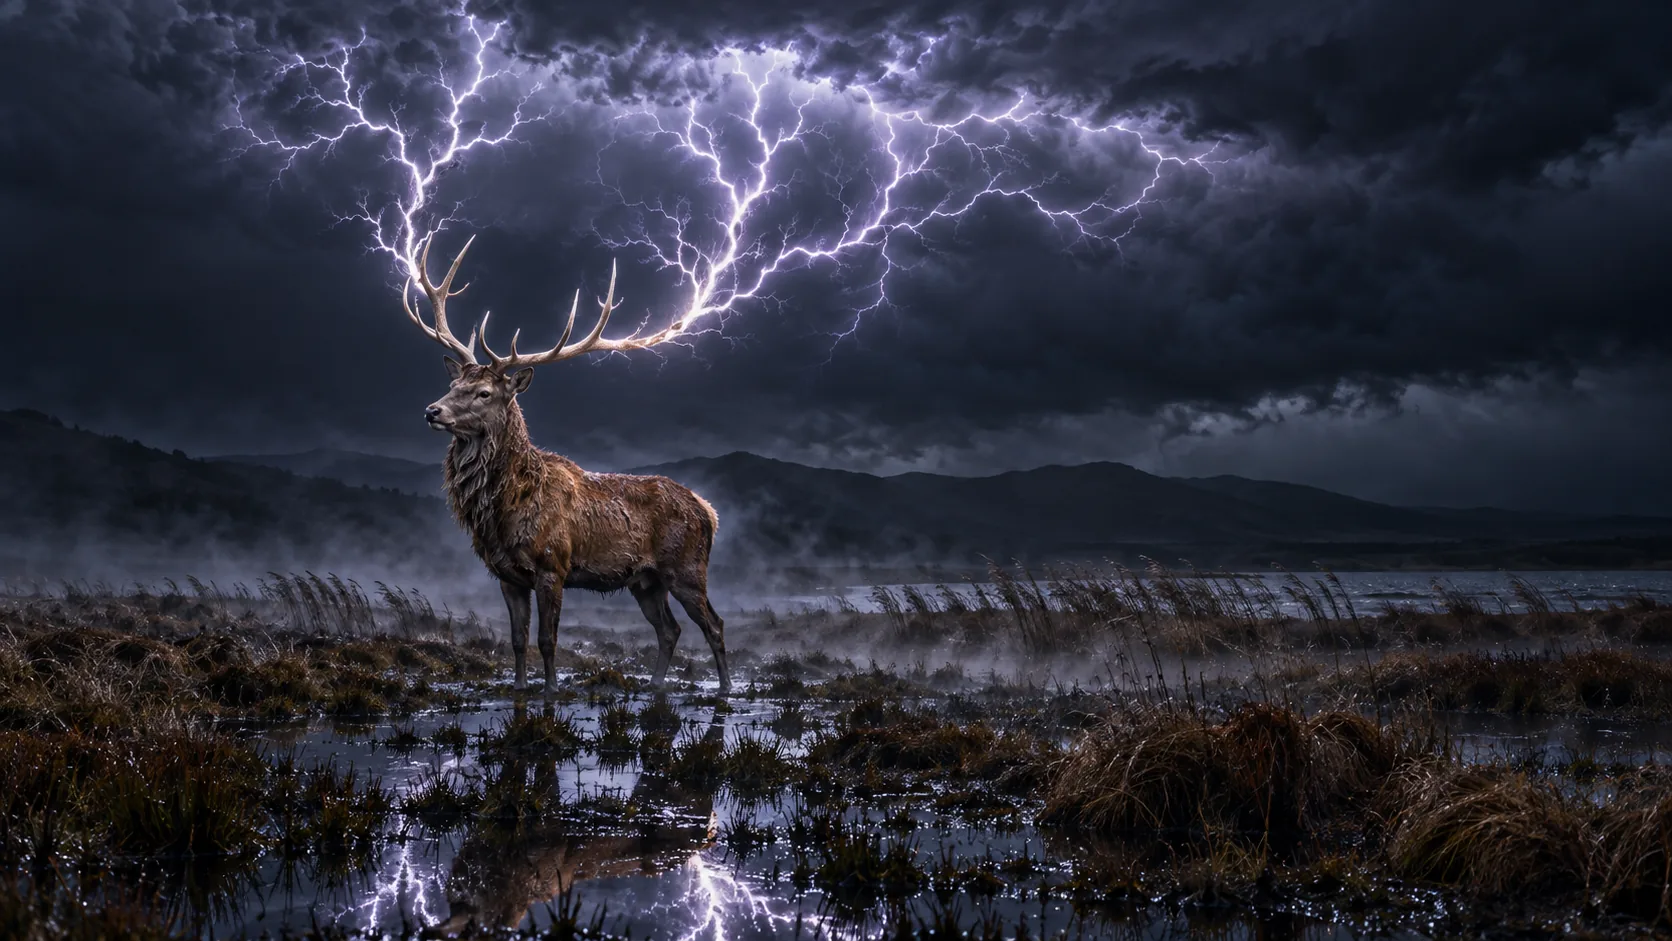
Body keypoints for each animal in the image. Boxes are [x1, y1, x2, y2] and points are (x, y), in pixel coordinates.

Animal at [401, 233, 730, 694]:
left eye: (484, 393)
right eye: (453, 384)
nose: (432, 411)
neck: (505, 510)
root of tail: (708, 510)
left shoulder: (552, 565)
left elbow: (546, 639)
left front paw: (551, 691)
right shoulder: (506, 576)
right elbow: (517, 640)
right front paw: (521, 688)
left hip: (686, 568)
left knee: (713, 624)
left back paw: (726, 689)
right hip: (646, 581)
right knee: (669, 629)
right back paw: (655, 685)